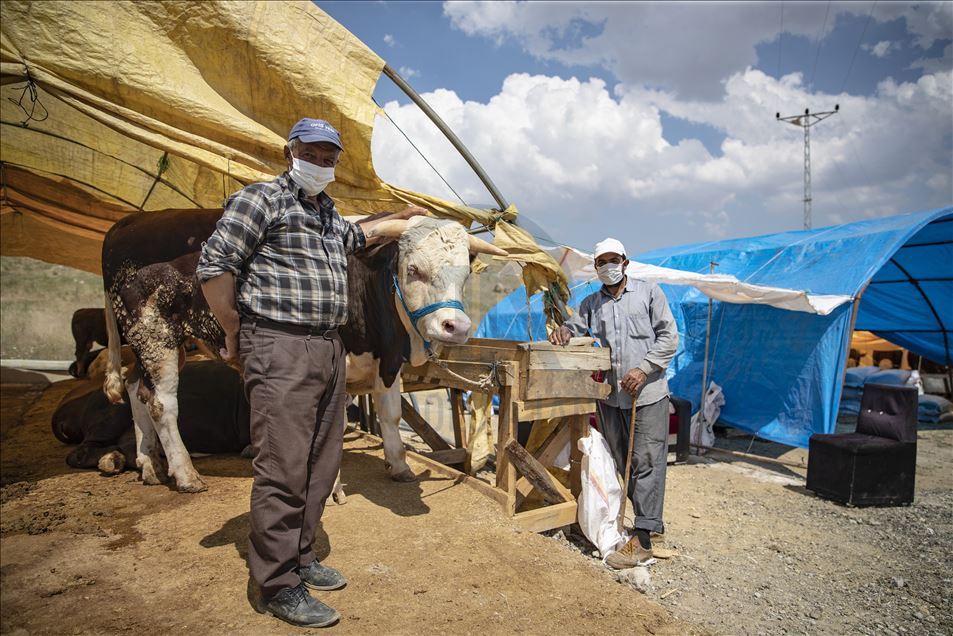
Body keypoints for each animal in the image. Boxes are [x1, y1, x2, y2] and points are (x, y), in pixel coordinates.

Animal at [102, 209, 506, 492]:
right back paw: (185, 474)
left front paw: (400, 466)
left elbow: (390, 416)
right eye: (413, 269)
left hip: (152, 347)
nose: (456, 327)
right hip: (158, 340)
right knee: (162, 405)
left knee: (137, 392)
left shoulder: (387, 361)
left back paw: (149, 464)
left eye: (464, 276)